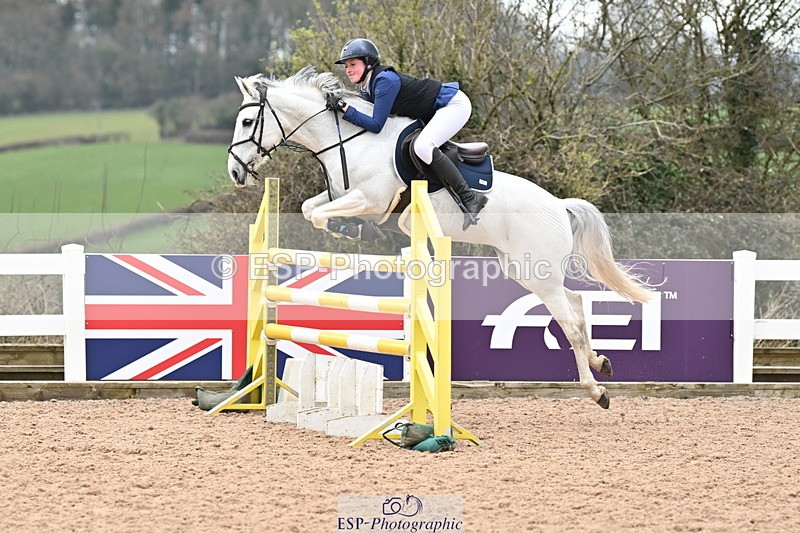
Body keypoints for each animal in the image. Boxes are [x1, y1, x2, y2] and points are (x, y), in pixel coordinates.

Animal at [226, 66, 652, 409]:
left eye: (247, 122)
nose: (234, 172)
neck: (350, 140)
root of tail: (560, 206)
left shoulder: (370, 199)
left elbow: (321, 214)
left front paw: (348, 229)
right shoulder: (344, 197)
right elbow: (310, 210)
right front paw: (346, 229)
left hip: (539, 272)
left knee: (572, 325)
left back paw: (597, 391)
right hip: (525, 269)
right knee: (577, 302)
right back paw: (602, 363)